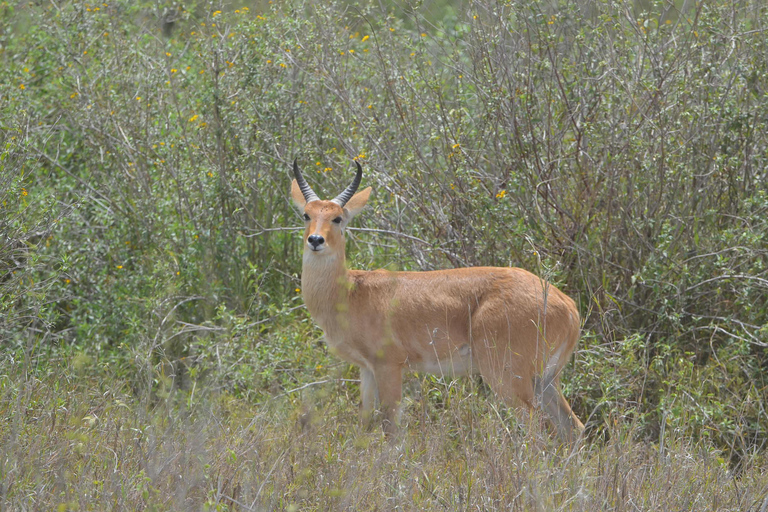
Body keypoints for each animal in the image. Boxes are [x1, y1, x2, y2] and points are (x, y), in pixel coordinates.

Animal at [292, 161, 584, 444]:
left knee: (537, 428)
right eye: (307, 214)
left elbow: (391, 428)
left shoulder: (389, 366)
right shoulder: (367, 369)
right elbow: (364, 424)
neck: (351, 292)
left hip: (506, 376)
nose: (315, 240)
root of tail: (568, 305)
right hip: (545, 379)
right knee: (573, 427)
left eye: (337, 217)